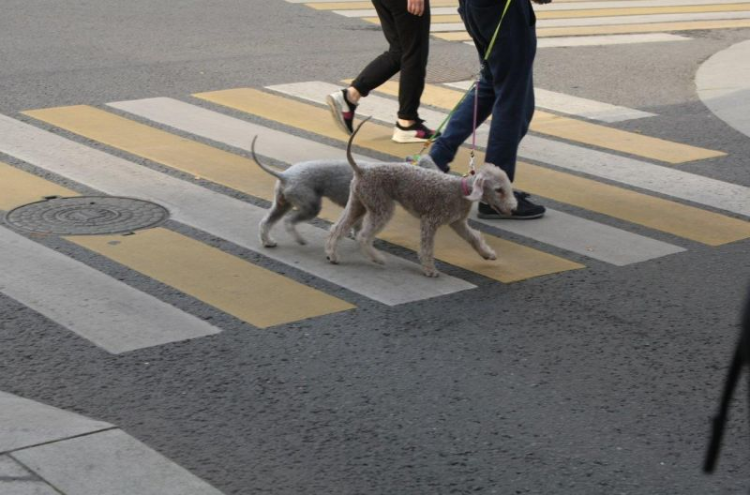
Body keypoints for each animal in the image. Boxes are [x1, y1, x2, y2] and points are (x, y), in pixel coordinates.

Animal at [251, 136, 438, 248]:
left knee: (266, 223)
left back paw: (268, 242)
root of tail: (285, 175)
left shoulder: (360, 206)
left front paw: (356, 235)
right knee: (289, 221)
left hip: (283, 202)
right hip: (309, 204)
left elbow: (357, 224)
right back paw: (299, 239)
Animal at [326, 118, 520, 278]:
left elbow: (473, 238)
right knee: (364, 236)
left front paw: (487, 254)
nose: (513, 209)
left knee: (337, 228)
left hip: (359, 202)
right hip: (381, 206)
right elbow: (427, 248)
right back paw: (377, 258)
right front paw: (430, 270)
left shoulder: (457, 222)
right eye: (498, 190)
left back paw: (332, 255)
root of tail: (362, 170)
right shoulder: (430, 221)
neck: (462, 190)